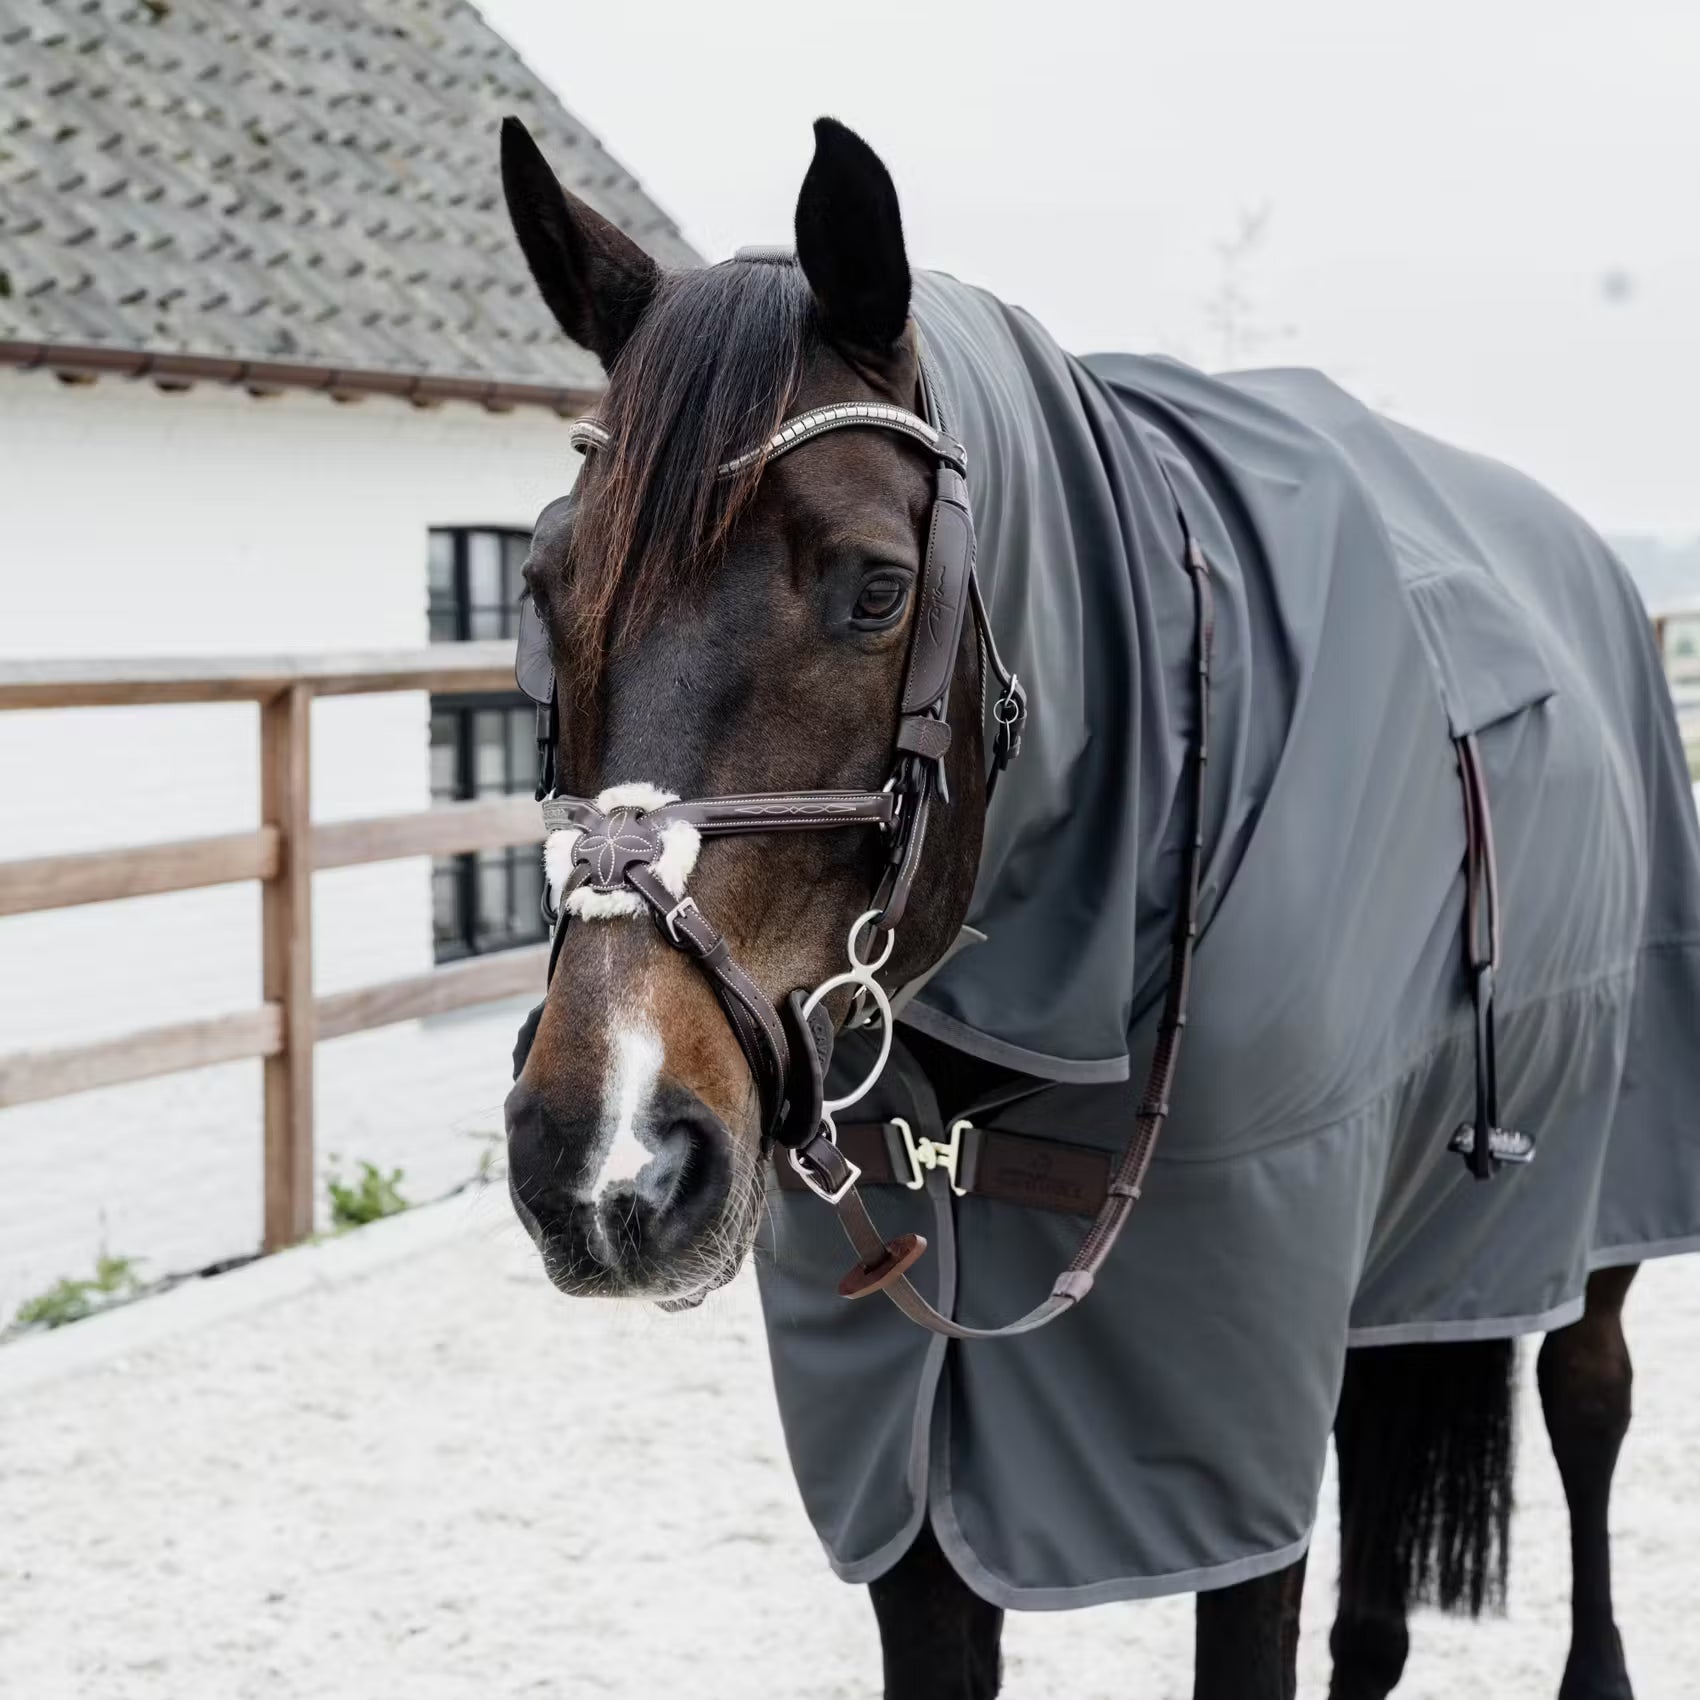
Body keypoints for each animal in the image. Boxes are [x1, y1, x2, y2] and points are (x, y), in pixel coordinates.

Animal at [499, 112, 1700, 1700]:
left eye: (877, 588)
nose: (606, 1152)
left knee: (1588, 1399)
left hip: (1599, 1201)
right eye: (540, 582)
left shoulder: (1230, 1428)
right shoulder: (911, 1473)